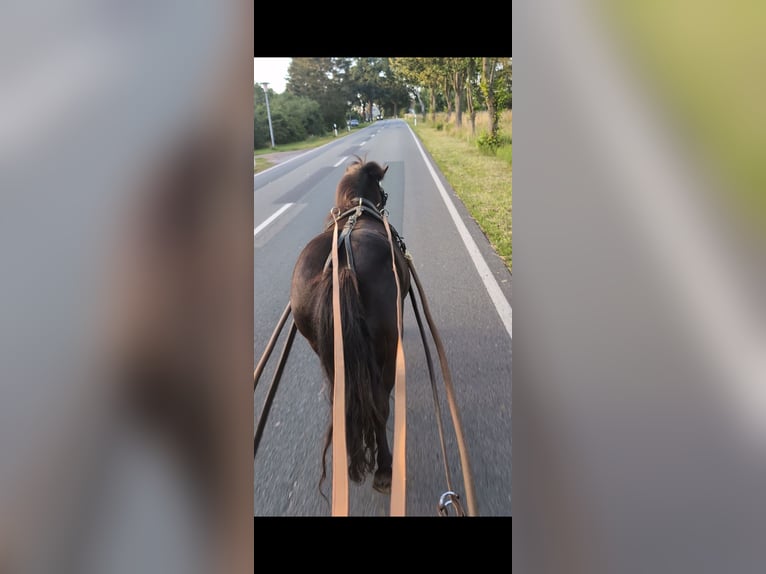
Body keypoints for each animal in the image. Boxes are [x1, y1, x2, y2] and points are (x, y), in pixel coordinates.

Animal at [290, 159, 412, 496]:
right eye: (381, 187)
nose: (383, 200)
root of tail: (343, 265)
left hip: (327, 352)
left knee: (341, 403)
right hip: (385, 348)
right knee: (380, 404)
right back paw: (384, 469)